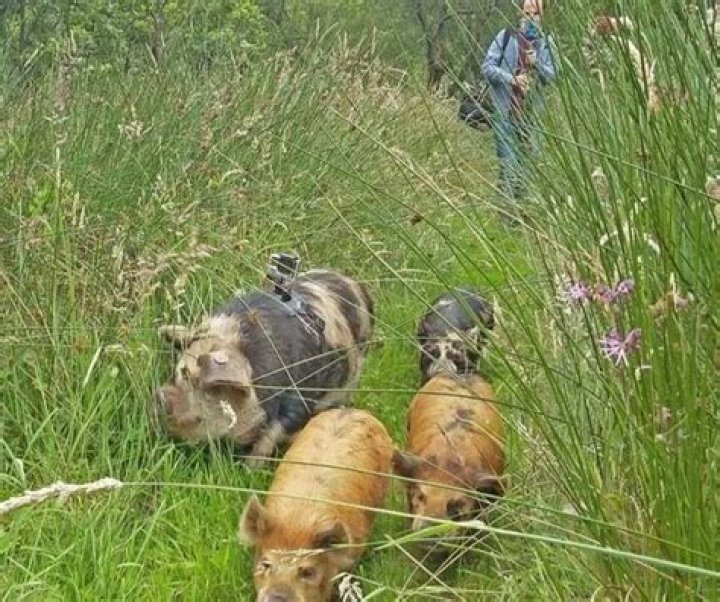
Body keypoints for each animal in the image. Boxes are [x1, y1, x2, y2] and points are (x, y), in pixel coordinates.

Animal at [153, 267, 374, 467]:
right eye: (180, 372)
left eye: (194, 379)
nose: (160, 396)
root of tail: (358, 286)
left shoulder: (299, 401)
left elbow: (270, 436)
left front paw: (249, 469)